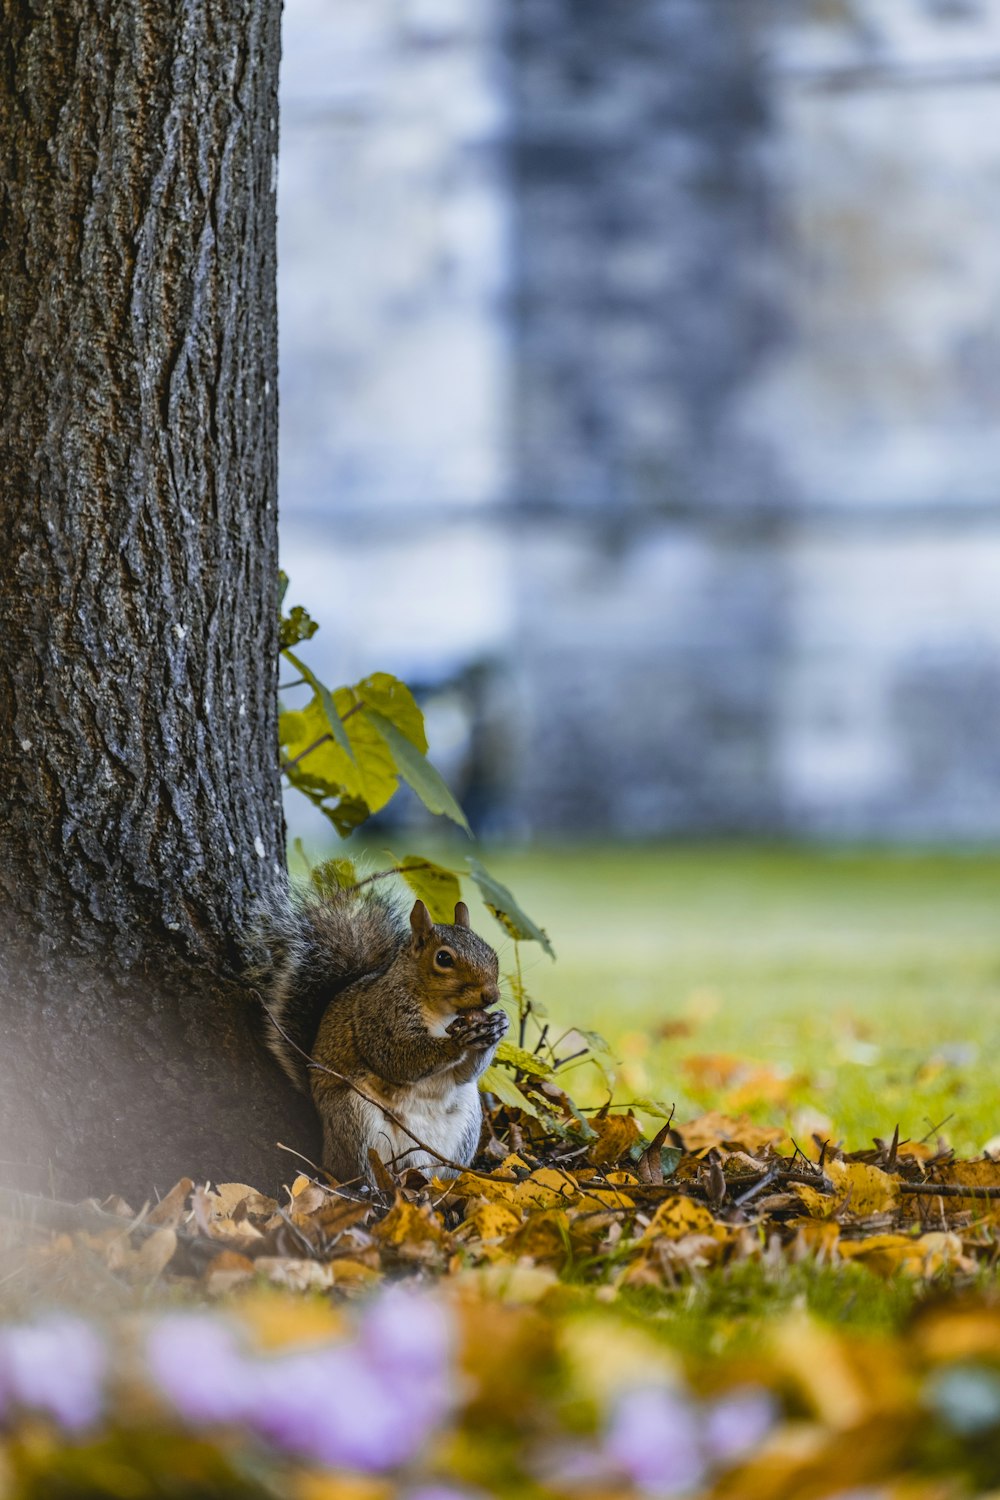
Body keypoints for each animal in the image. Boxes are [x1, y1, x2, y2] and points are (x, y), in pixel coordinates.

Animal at [256, 882, 509, 1188]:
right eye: (443, 958)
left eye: (492, 953)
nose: (491, 996)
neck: (442, 1012)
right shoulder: (379, 1017)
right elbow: (397, 1058)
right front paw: (456, 1043)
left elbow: (464, 1075)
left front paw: (498, 1026)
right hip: (356, 1117)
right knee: (360, 1168)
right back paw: (370, 1187)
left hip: (466, 1123)